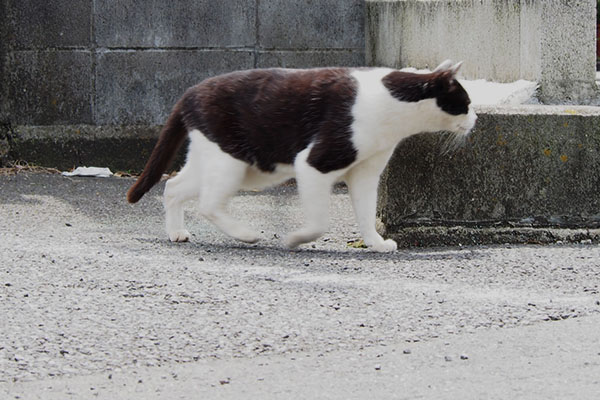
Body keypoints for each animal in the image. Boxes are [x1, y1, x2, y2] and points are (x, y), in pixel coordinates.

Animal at [127, 59, 478, 252]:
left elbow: (366, 214)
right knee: (208, 203)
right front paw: (296, 238)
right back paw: (247, 235)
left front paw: (376, 244)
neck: (394, 109)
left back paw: (176, 232)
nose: (476, 119)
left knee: (173, 187)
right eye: (467, 102)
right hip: (232, 162)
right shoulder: (314, 163)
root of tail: (189, 92)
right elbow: (320, 221)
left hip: (225, 162)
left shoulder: (366, 173)